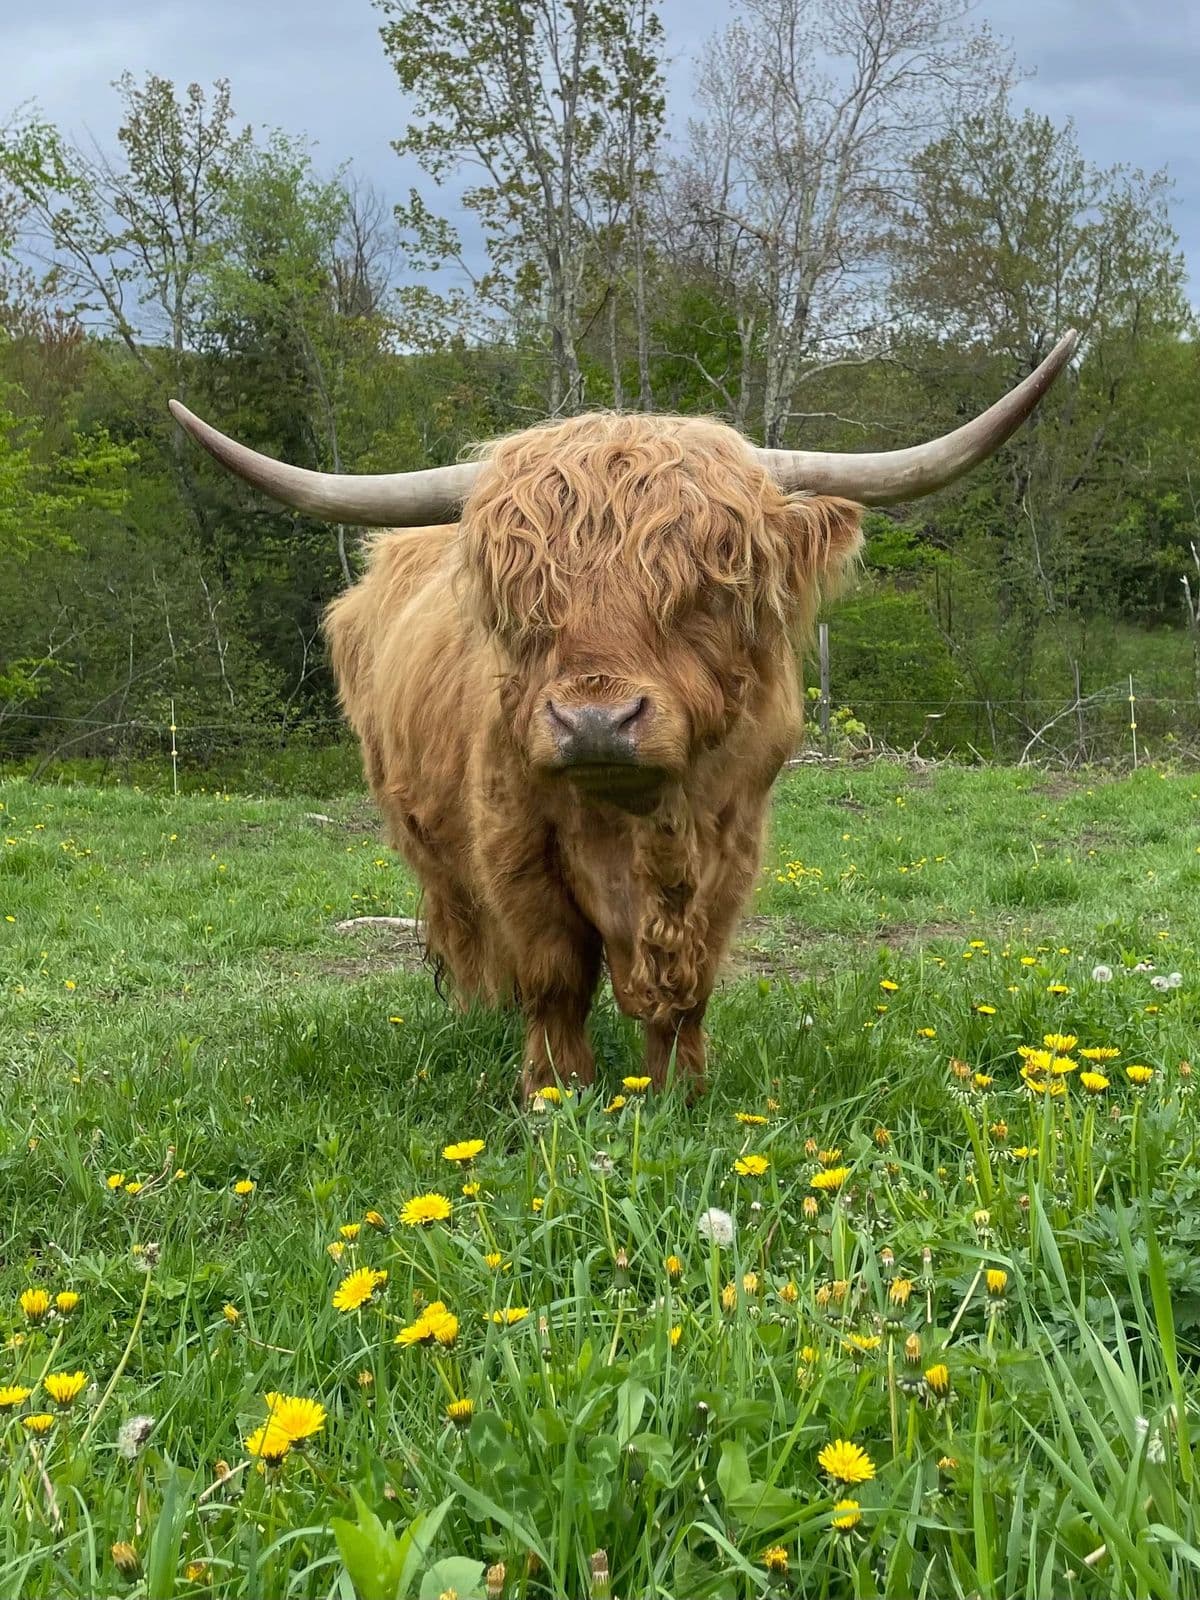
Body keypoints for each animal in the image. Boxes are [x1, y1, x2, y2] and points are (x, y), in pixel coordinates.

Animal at [170, 331, 1075, 1100]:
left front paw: (680, 1089)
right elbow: (554, 974)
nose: (595, 722)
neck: (639, 830)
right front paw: (555, 1090)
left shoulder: (732, 844)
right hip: (424, 832)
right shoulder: (515, 842)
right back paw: (479, 1009)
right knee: (463, 927)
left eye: (710, 586)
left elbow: (691, 985)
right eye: (523, 595)